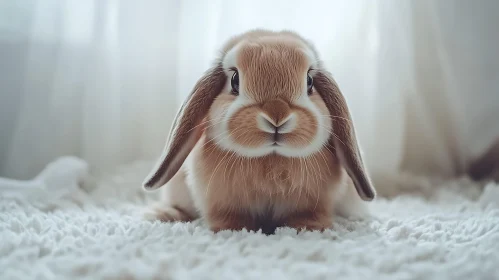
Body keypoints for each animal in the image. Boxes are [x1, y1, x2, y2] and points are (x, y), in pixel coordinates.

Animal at [141, 29, 376, 234]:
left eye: (309, 82)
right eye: (235, 80)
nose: (277, 114)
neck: (270, 159)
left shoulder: (313, 202)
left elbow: (307, 214)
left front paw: (309, 228)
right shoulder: (222, 201)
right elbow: (229, 216)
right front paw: (232, 229)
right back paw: (163, 214)